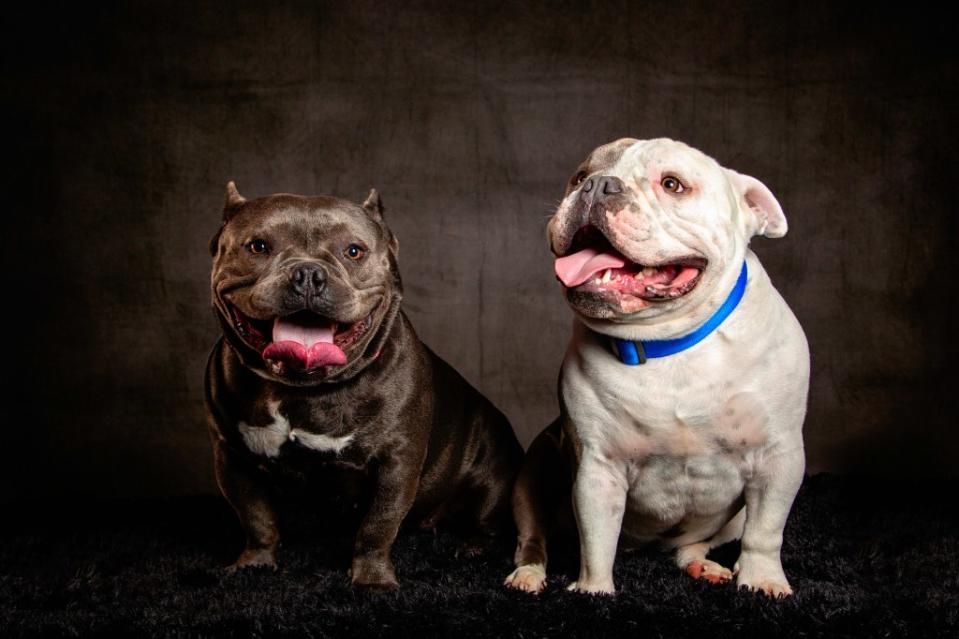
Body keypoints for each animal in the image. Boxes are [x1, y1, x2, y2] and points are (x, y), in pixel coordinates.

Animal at [506, 138, 808, 596]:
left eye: (672, 184)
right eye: (579, 177)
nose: (598, 185)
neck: (667, 342)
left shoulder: (779, 456)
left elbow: (766, 531)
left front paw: (762, 581)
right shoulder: (598, 468)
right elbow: (597, 537)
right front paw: (593, 591)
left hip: (729, 520)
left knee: (696, 544)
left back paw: (706, 566)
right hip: (533, 475)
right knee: (533, 536)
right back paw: (528, 574)